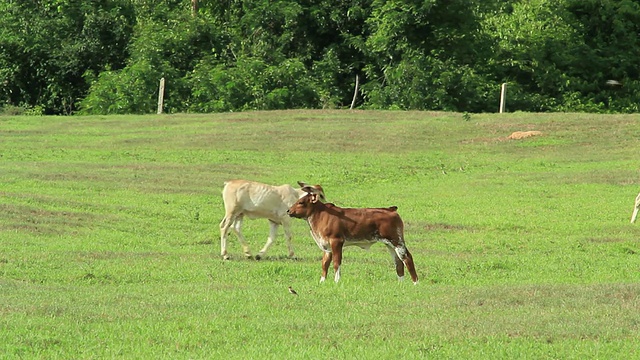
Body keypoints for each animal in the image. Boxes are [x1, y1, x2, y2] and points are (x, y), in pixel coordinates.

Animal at [286, 193, 418, 282]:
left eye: (301, 202)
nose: (288, 211)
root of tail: (390, 209)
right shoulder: (326, 246)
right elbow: (325, 263)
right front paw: (322, 281)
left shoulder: (336, 241)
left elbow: (336, 262)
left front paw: (336, 281)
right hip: (390, 244)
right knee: (398, 262)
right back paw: (400, 283)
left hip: (396, 240)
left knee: (407, 258)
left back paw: (415, 282)